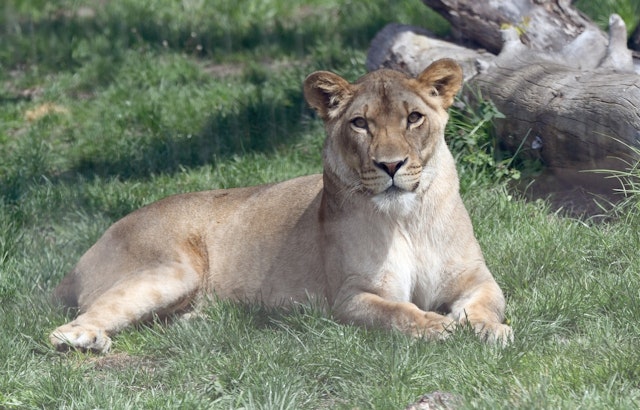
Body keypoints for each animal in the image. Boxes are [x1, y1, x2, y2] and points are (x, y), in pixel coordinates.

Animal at [49, 59, 512, 353]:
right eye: (360, 123)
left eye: (414, 118)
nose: (391, 165)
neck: (406, 218)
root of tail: (86, 253)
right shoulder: (351, 296)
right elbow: (398, 312)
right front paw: (436, 325)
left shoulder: (476, 277)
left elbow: (487, 304)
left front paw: (493, 331)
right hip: (173, 270)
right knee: (71, 324)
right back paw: (86, 340)